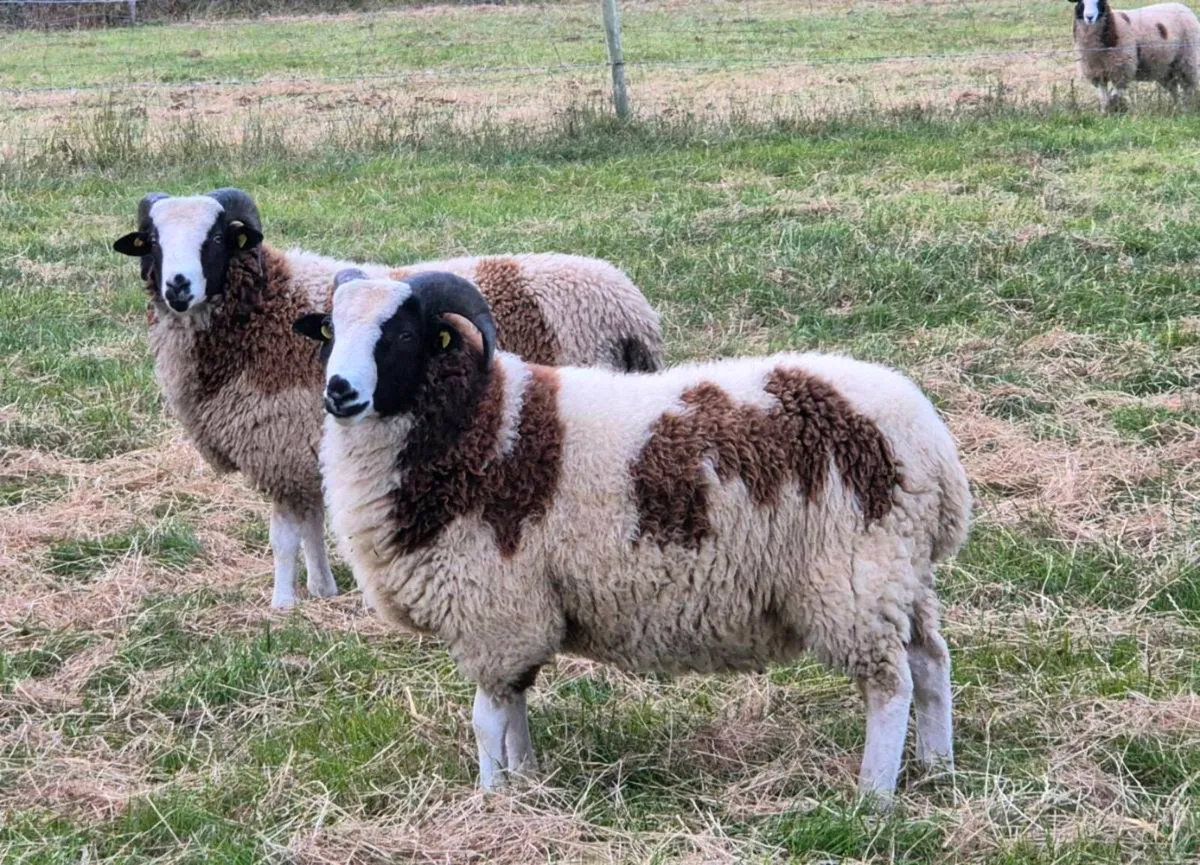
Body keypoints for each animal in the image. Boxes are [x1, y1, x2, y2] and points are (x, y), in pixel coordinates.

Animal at [111, 188, 664, 610]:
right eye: (153, 240)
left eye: (216, 238)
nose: (178, 286)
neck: (264, 311)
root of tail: (629, 309)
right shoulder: (305, 453)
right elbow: (313, 527)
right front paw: (323, 590)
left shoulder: (278, 447)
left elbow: (285, 537)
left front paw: (282, 603)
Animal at [303, 271, 972, 801]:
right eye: (330, 333)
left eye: (402, 335)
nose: (340, 392)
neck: (479, 424)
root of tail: (929, 439)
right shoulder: (518, 615)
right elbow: (515, 707)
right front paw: (528, 782)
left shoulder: (496, 608)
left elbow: (487, 719)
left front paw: (491, 796)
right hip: (900, 573)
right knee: (931, 661)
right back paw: (937, 769)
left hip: (854, 579)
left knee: (891, 685)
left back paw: (873, 797)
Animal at [1071, 0, 1200, 111]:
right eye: (1081, 2)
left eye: (1100, 1)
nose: (1089, 17)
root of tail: (1183, 7)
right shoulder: (1097, 71)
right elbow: (1103, 98)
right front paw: (1104, 113)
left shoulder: (1122, 68)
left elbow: (1116, 95)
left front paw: (1116, 110)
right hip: (1166, 68)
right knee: (1174, 89)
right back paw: (1178, 108)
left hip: (1188, 60)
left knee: (1190, 88)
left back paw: (1189, 108)